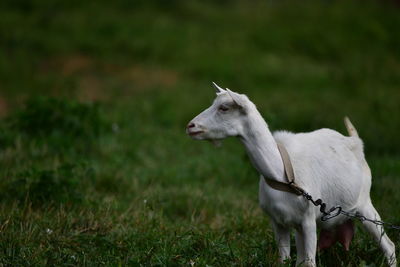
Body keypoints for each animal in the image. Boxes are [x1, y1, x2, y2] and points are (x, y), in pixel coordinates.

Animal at [185, 82, 396, 266]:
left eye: (224, 108)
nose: (191, 126)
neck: (283, 173)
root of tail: (355, 141)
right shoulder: (278, 222)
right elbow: (285, 260)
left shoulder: (309, 220)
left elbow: (309, 263)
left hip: (364, 204)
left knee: (389, 246)